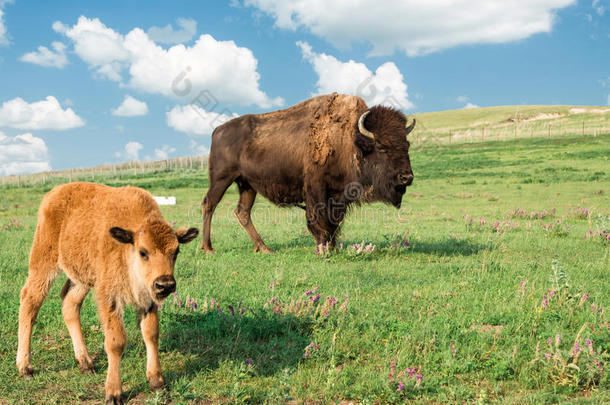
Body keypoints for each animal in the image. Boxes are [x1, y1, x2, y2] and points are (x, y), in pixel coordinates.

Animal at [16, 181, 197, 402]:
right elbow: (115, 342)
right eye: (143, 252)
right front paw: (113, 392)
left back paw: (85, 363)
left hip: (82, 278)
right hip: (44, 262)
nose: (165, 284)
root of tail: (54, 192)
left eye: (176, 252)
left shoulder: (147, 299)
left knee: (69, 304)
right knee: (30, 301)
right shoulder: (109, 297)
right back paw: (25, 368)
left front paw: (157, 382)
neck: (127, 247)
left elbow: (151, 333)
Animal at [201, 92, 414, 252]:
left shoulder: (338, 196)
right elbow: (320, 218)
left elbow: (334, 221)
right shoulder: (317, 188)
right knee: (209, 204)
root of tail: (217, 130)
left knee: (243, 212)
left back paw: (264, 248)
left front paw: (333, 247)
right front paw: (323, 247)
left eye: (407, 145)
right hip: (222, 179)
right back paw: (208, 248)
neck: (350, 140)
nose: (407, 177)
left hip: (247, 185)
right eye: (381, 147)